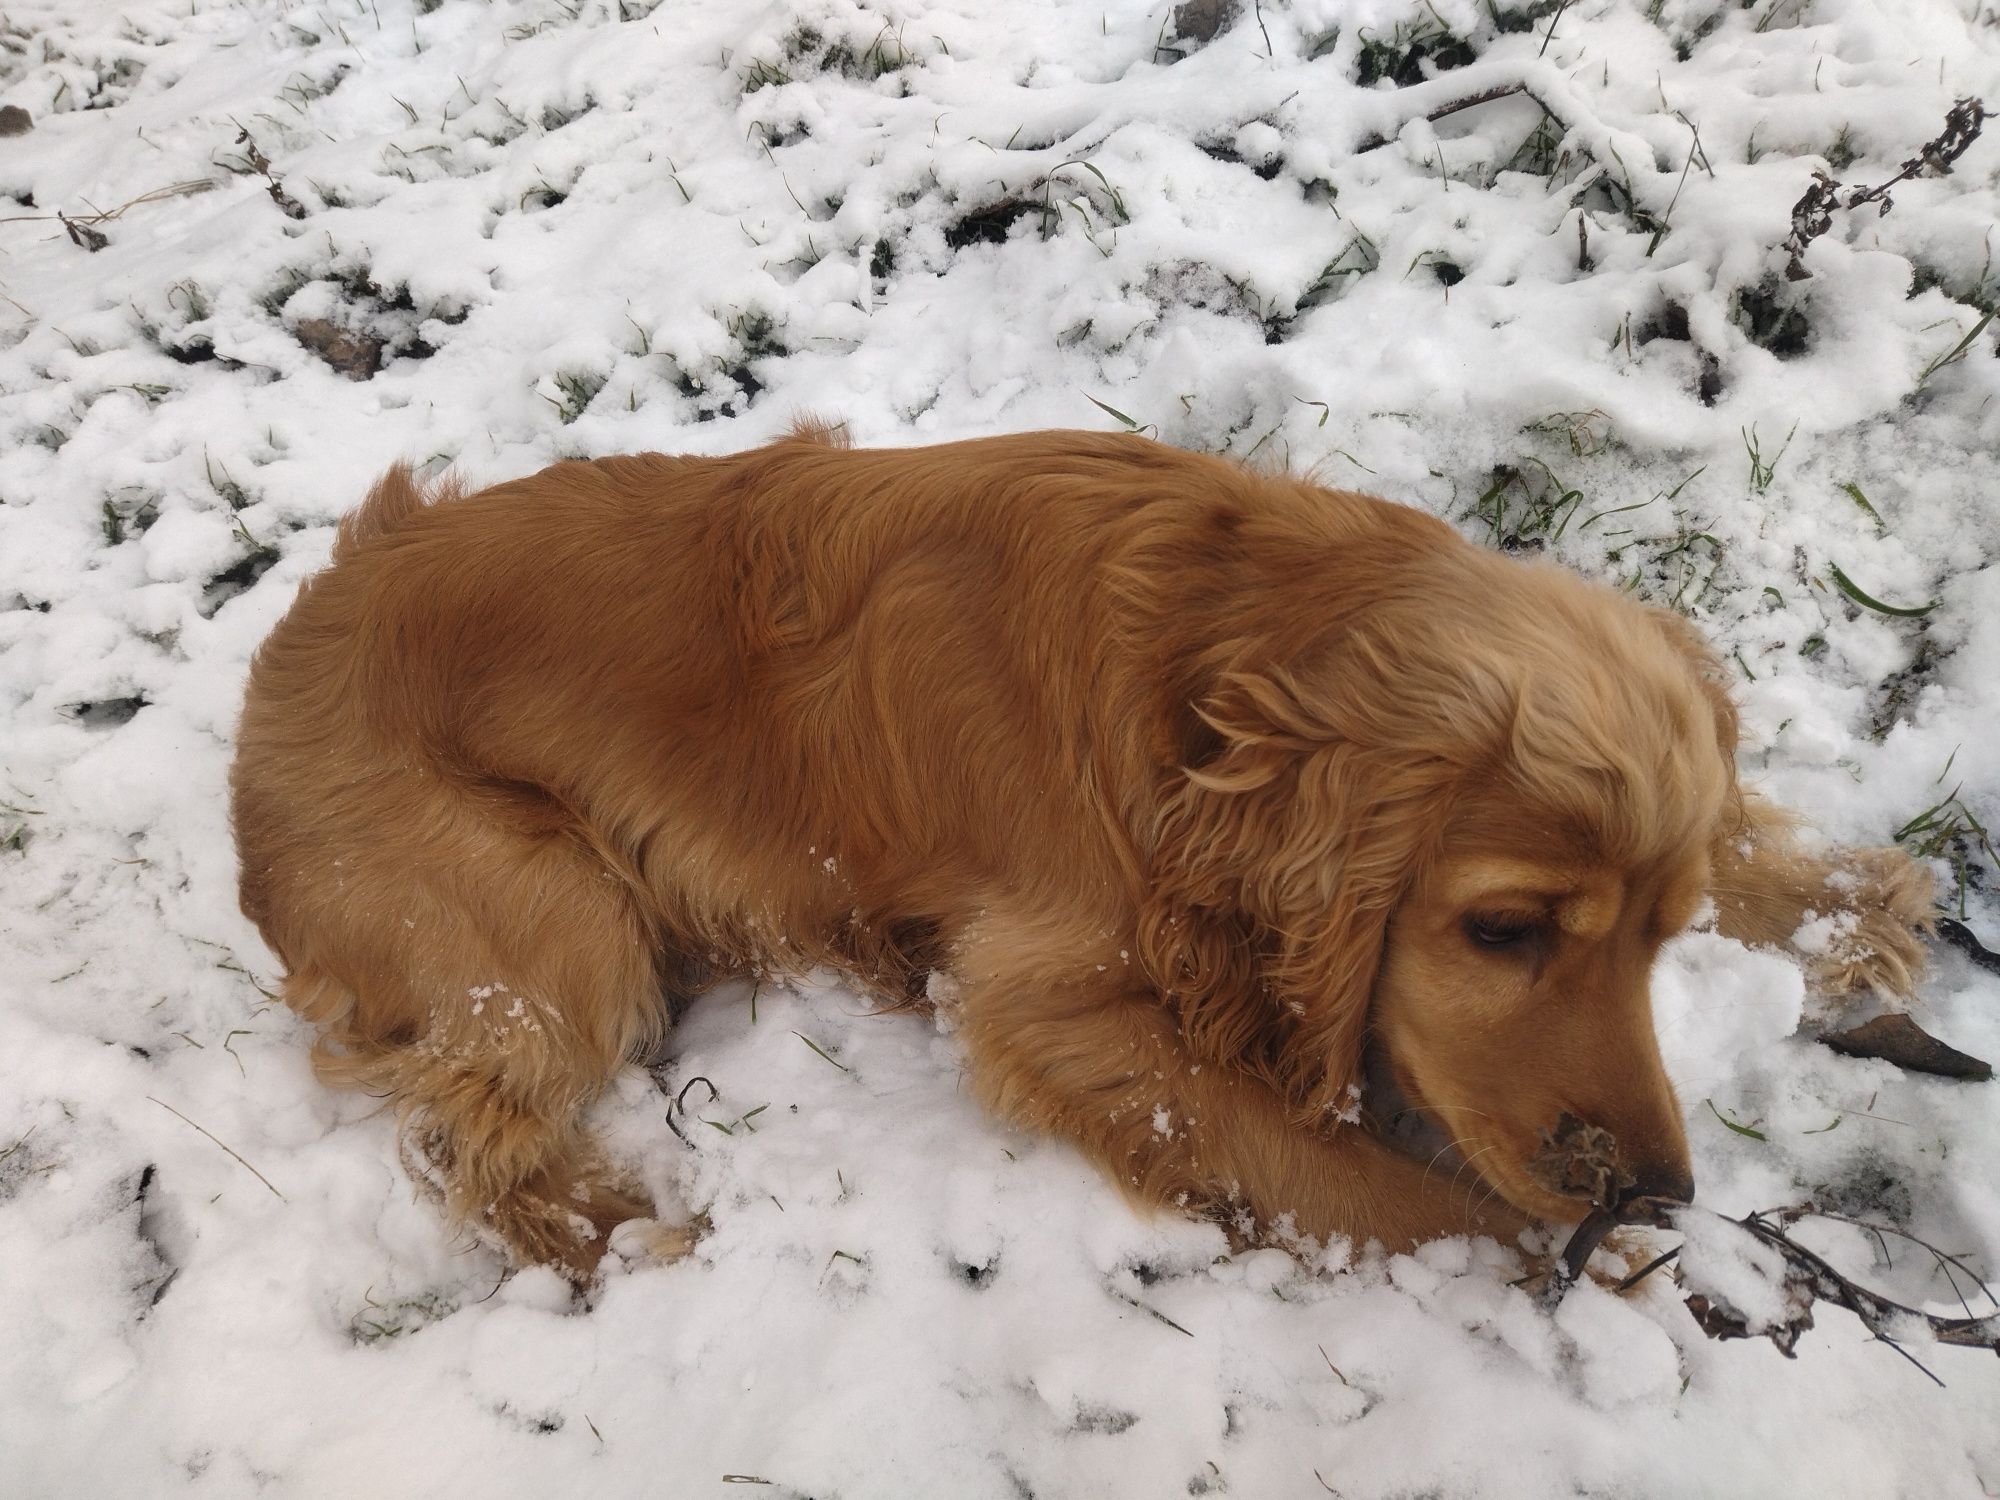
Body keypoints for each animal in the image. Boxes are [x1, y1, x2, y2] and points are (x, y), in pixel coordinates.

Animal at [234, 426, 1936, 1280]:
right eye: (1504, 931)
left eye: (1663, 937)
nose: (1656, 1193)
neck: (1217, 665)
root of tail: (278, 668)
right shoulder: (1050, 1006)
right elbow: (1370, 1178)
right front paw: (1587, 1266)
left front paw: (1846, 913)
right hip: (551, 916)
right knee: (466, 1125)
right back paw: (624, 1223)